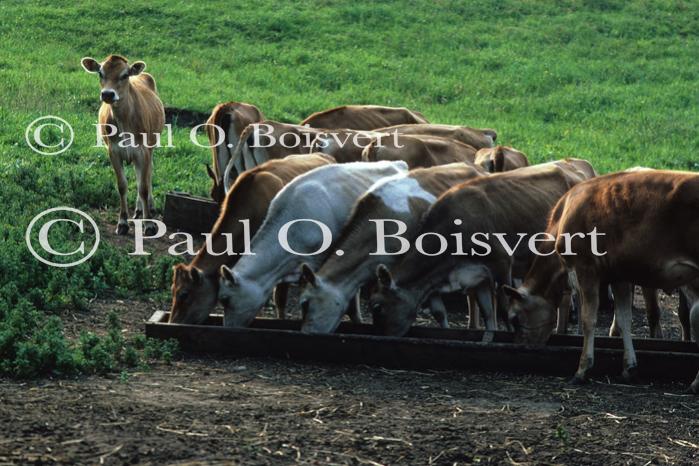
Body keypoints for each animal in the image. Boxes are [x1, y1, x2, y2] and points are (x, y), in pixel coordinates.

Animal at [81, 55, 165, 235]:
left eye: (125, 75)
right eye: (100, 73)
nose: (107, 94)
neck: (124, 120)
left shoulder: (143, 152)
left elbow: (143, 187)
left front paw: (149, 224)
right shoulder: (113, 152)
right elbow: (122, 185)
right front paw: (123, 222)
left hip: (152, 144)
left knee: (148, 175)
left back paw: (149, 208)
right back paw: (139, 210)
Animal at [369, 159, 596, 337]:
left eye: (378, 306)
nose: (383, 336)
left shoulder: (502, 262)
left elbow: (504, 308)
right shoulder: (477, 276)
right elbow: (487, 312)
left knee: (580, 294)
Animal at [505, 170, 699, 387]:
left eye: (515, 318)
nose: (520, 347)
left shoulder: (586, 269)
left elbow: (589, 320)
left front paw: (582, 369)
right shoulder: (619, 276)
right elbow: (624, 319)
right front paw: (629, 368)